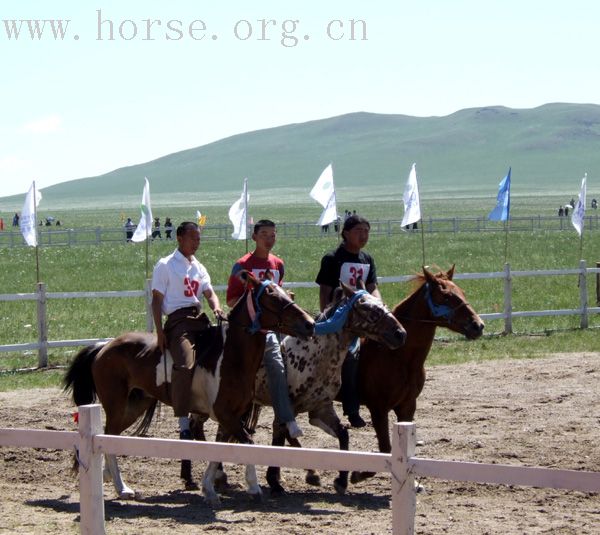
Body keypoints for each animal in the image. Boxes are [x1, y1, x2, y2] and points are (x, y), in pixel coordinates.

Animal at [63, 272, 315, 503]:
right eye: (272, 297)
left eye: (286, 294)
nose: (310, 324)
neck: (230, 355)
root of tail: (103, 347)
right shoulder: (226, 414)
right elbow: (248, 443)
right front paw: (253, 486)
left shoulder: (230, 417)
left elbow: (220, 448)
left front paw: (209, 488)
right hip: (116, 405)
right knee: (107, 436)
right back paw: (122, 488)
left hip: (134, 406)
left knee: (111, 436)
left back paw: (110, 477)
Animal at [183, 282, 407, 497]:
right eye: (369, 310)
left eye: (383, 304)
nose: (400, 334)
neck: (315, 354)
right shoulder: (285, 407)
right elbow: (281, 438)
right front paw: (275, 481)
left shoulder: (320, 409)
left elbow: (343, 435)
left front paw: (340, 480)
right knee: (195, 426)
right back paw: (201, 476)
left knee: (203, 427)